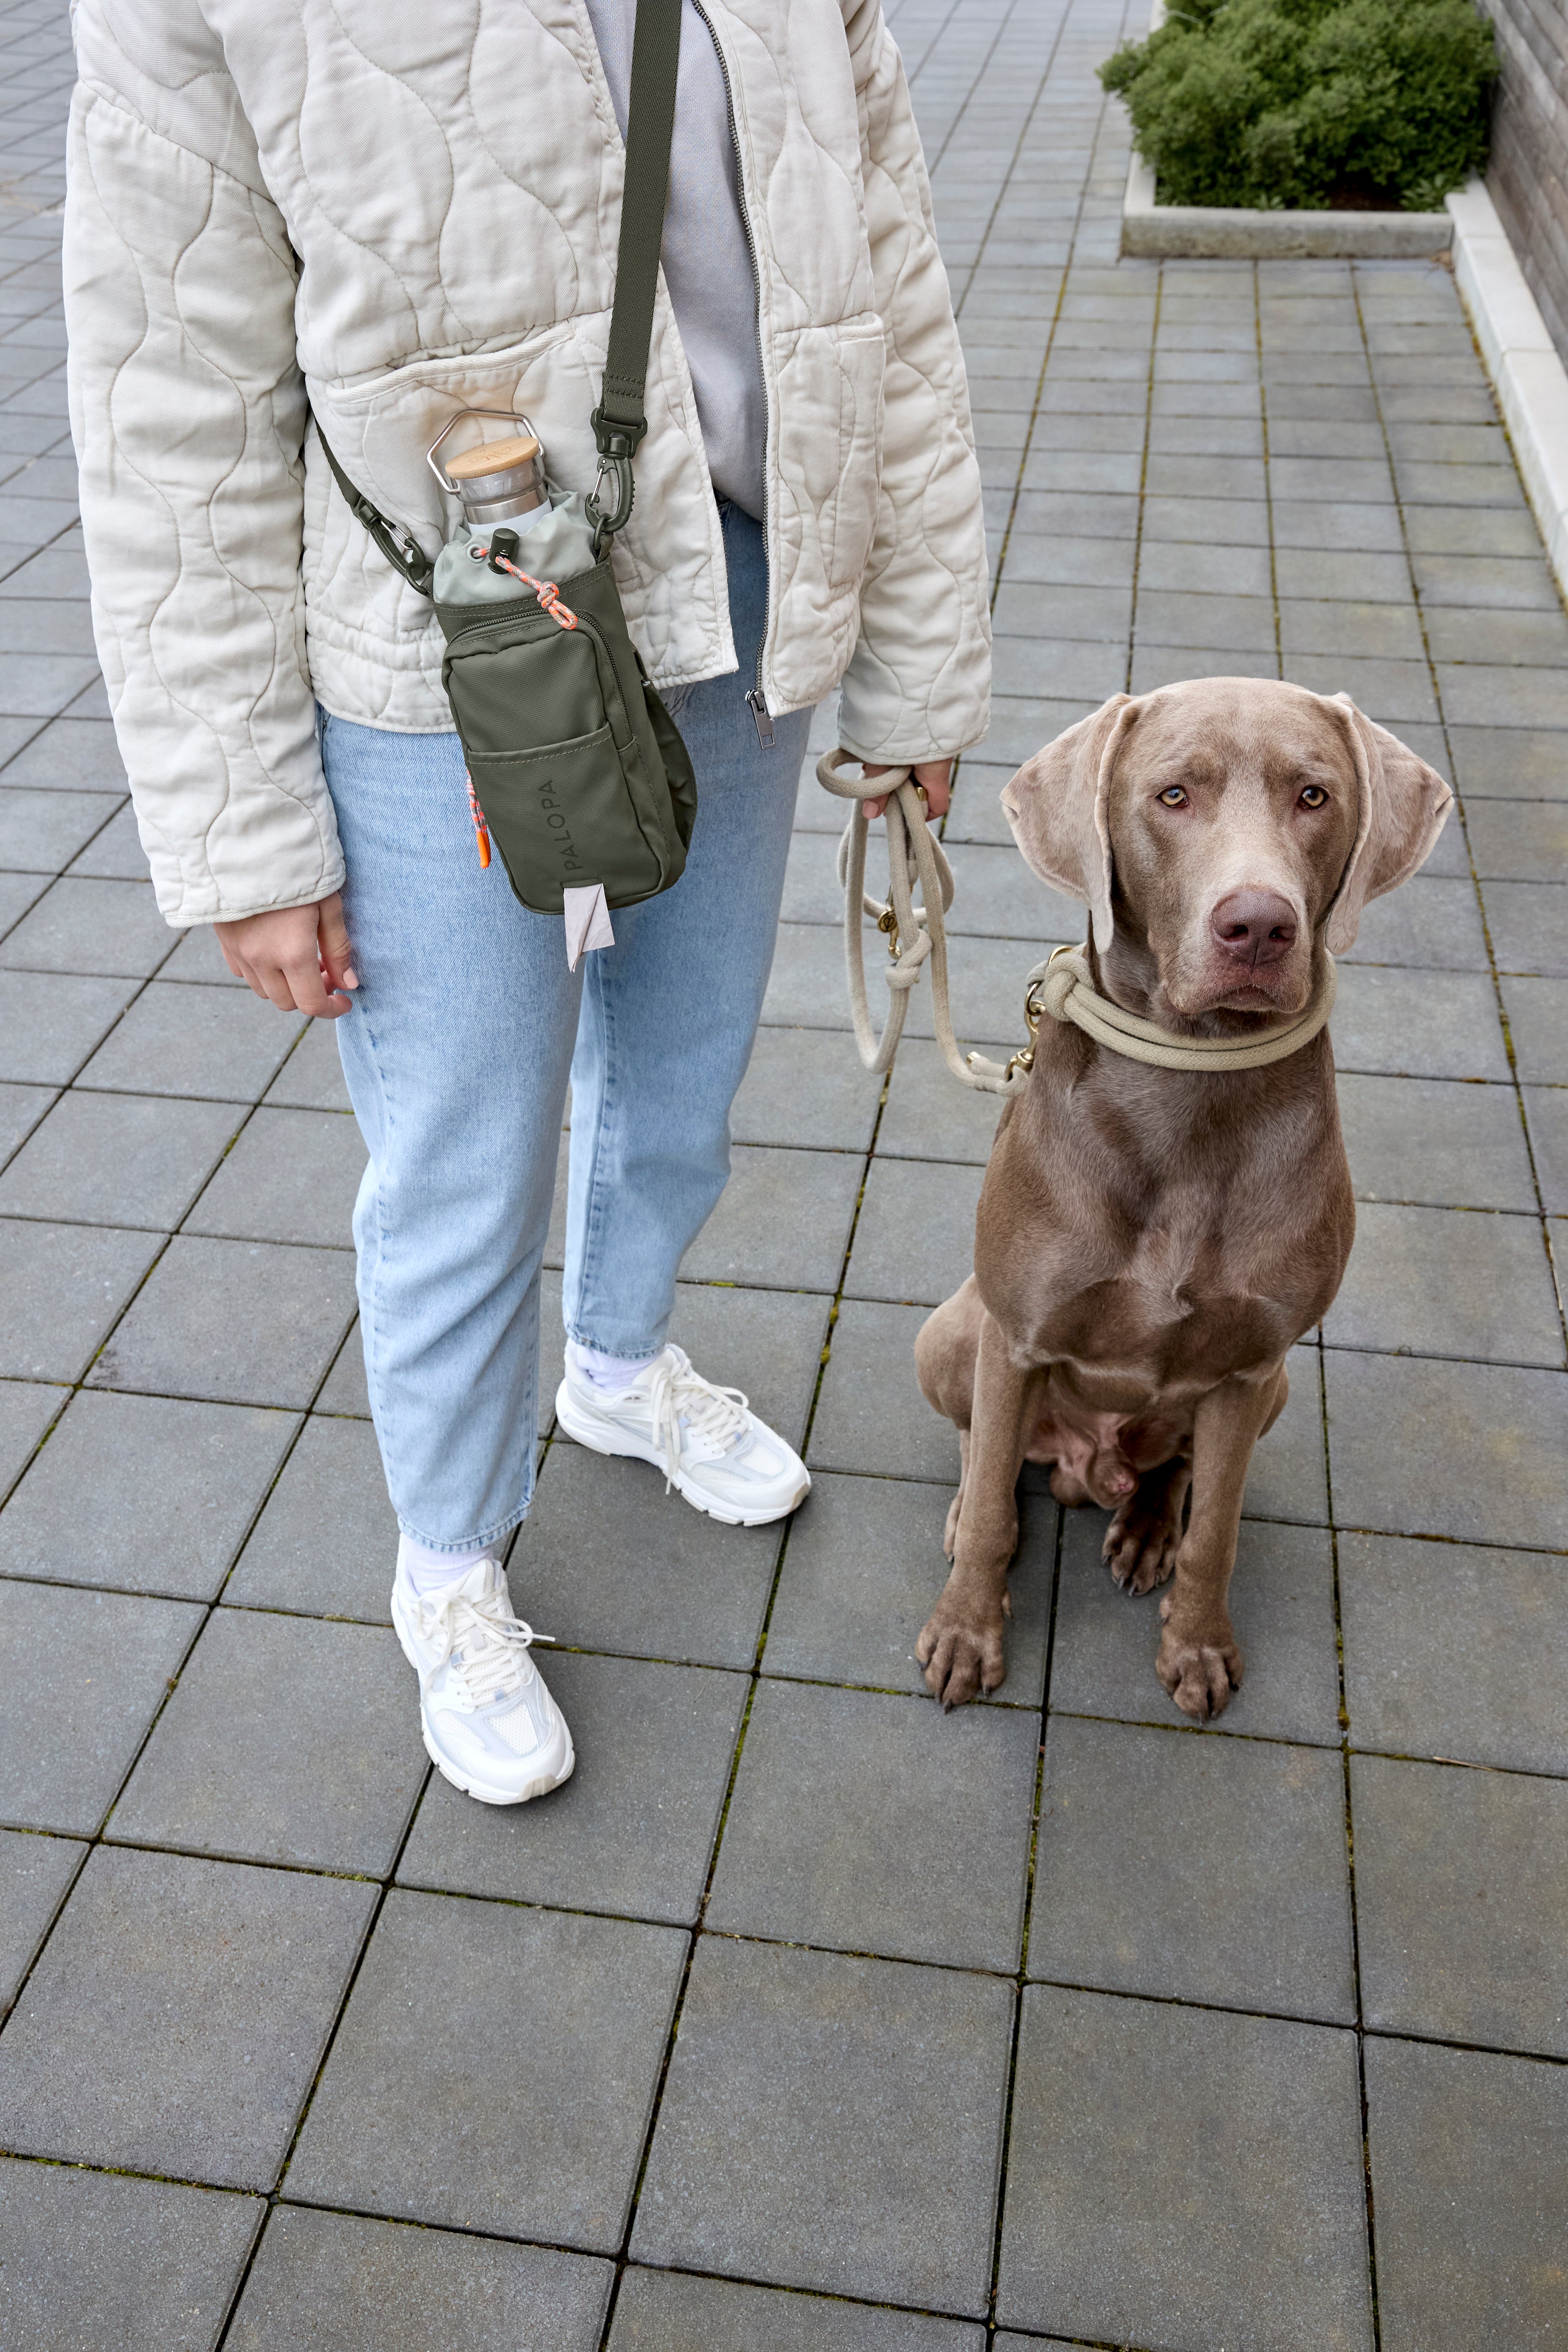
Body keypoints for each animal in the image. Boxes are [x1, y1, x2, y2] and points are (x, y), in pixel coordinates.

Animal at [921, 672, 1448, 1721]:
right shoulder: (1017, 1333)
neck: (1191, 1086)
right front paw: (966, 1630)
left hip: (1273, 1390)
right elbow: (998, 1501)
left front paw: (1199, 1645)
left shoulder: (1250, 1367)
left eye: (1314, 795)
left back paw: (1145, 1525)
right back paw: (969, 1512)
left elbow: (1220, 1533)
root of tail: (1086, 1467)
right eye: (1172, 795)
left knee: (1176, 1467)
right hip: (951, 1332)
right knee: (983, 1451)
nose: (1258, 925)